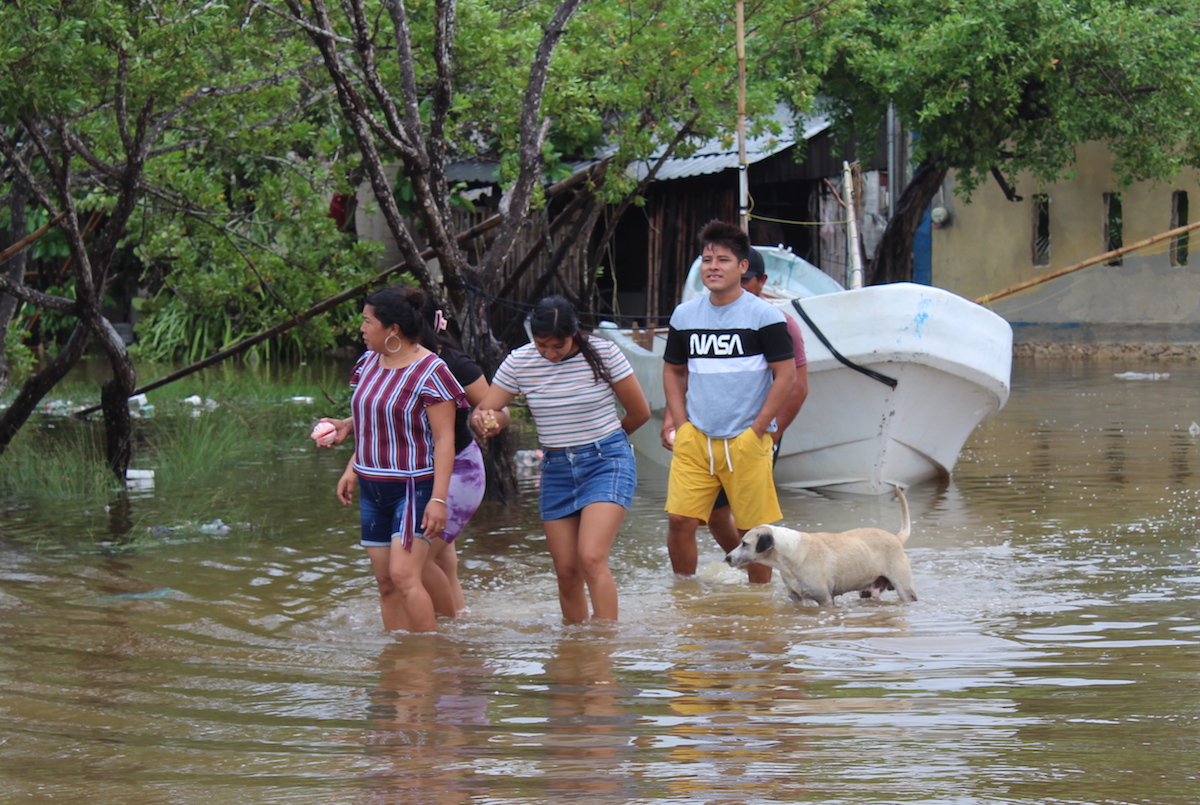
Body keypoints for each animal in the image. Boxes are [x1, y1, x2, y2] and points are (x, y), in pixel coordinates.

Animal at [720, 487, 916, 607]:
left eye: (745, 543)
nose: (727, 557)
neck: (792, 553)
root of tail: (897, 538)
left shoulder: (825, 600)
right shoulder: (795, 598)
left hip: (904, 589)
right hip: (868, 588)